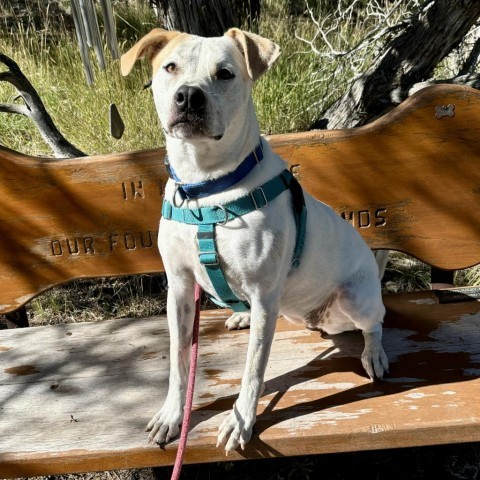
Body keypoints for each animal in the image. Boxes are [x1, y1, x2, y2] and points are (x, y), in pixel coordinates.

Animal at [122, 29, 388, 454]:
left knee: (375, 322)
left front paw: (240, 421)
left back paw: (374, 353)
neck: (206, 187)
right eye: (170, 67)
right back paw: (241, 314)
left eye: (225, 73)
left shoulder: (264, 295)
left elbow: (252, 370)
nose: (188, 96)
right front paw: (172, 415)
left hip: (354, 299)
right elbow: (179, 362)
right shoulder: (179, 288)